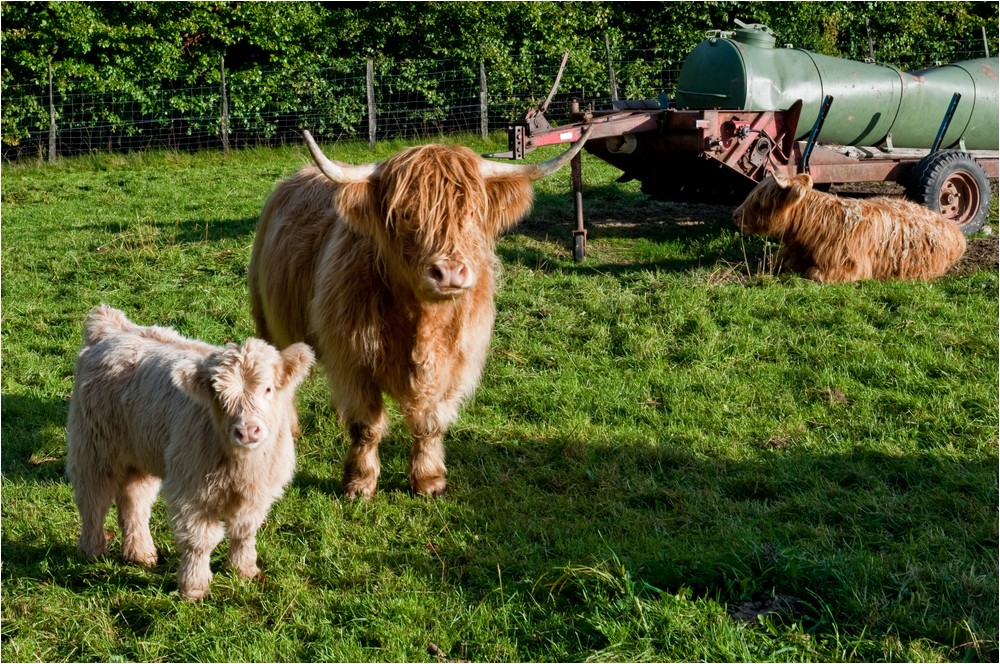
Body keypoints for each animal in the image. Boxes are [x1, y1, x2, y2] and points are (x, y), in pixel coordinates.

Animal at [66, 306, 312, 600]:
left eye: (268, 389)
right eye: (219, 395)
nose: (248, 431)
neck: (241, 466)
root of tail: (111, 327)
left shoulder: (259, 492)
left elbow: (244, 531)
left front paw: (244, 570)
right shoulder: (192, 494)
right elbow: (200, 540)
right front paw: (194, 587)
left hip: (141, 451)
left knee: (135, 499)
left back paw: (141, 553)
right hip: (94, 447)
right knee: (94, 498)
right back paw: (93, 550)